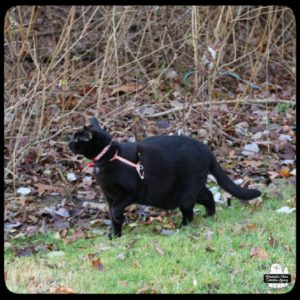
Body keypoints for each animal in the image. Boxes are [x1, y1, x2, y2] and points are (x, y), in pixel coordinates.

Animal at [68, 117, 260, 237]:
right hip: (194, 187)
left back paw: (183, 228)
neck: (109, 157)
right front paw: (115, 236)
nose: (68, 142)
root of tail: (207, 150)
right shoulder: (109, 196)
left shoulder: (129, 193)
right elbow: (112, 215)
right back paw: (209, 215)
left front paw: (120, 221)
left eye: (77, 139)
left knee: (189, 211)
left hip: (186, 190)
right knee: (208, 196)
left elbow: (115, 211)